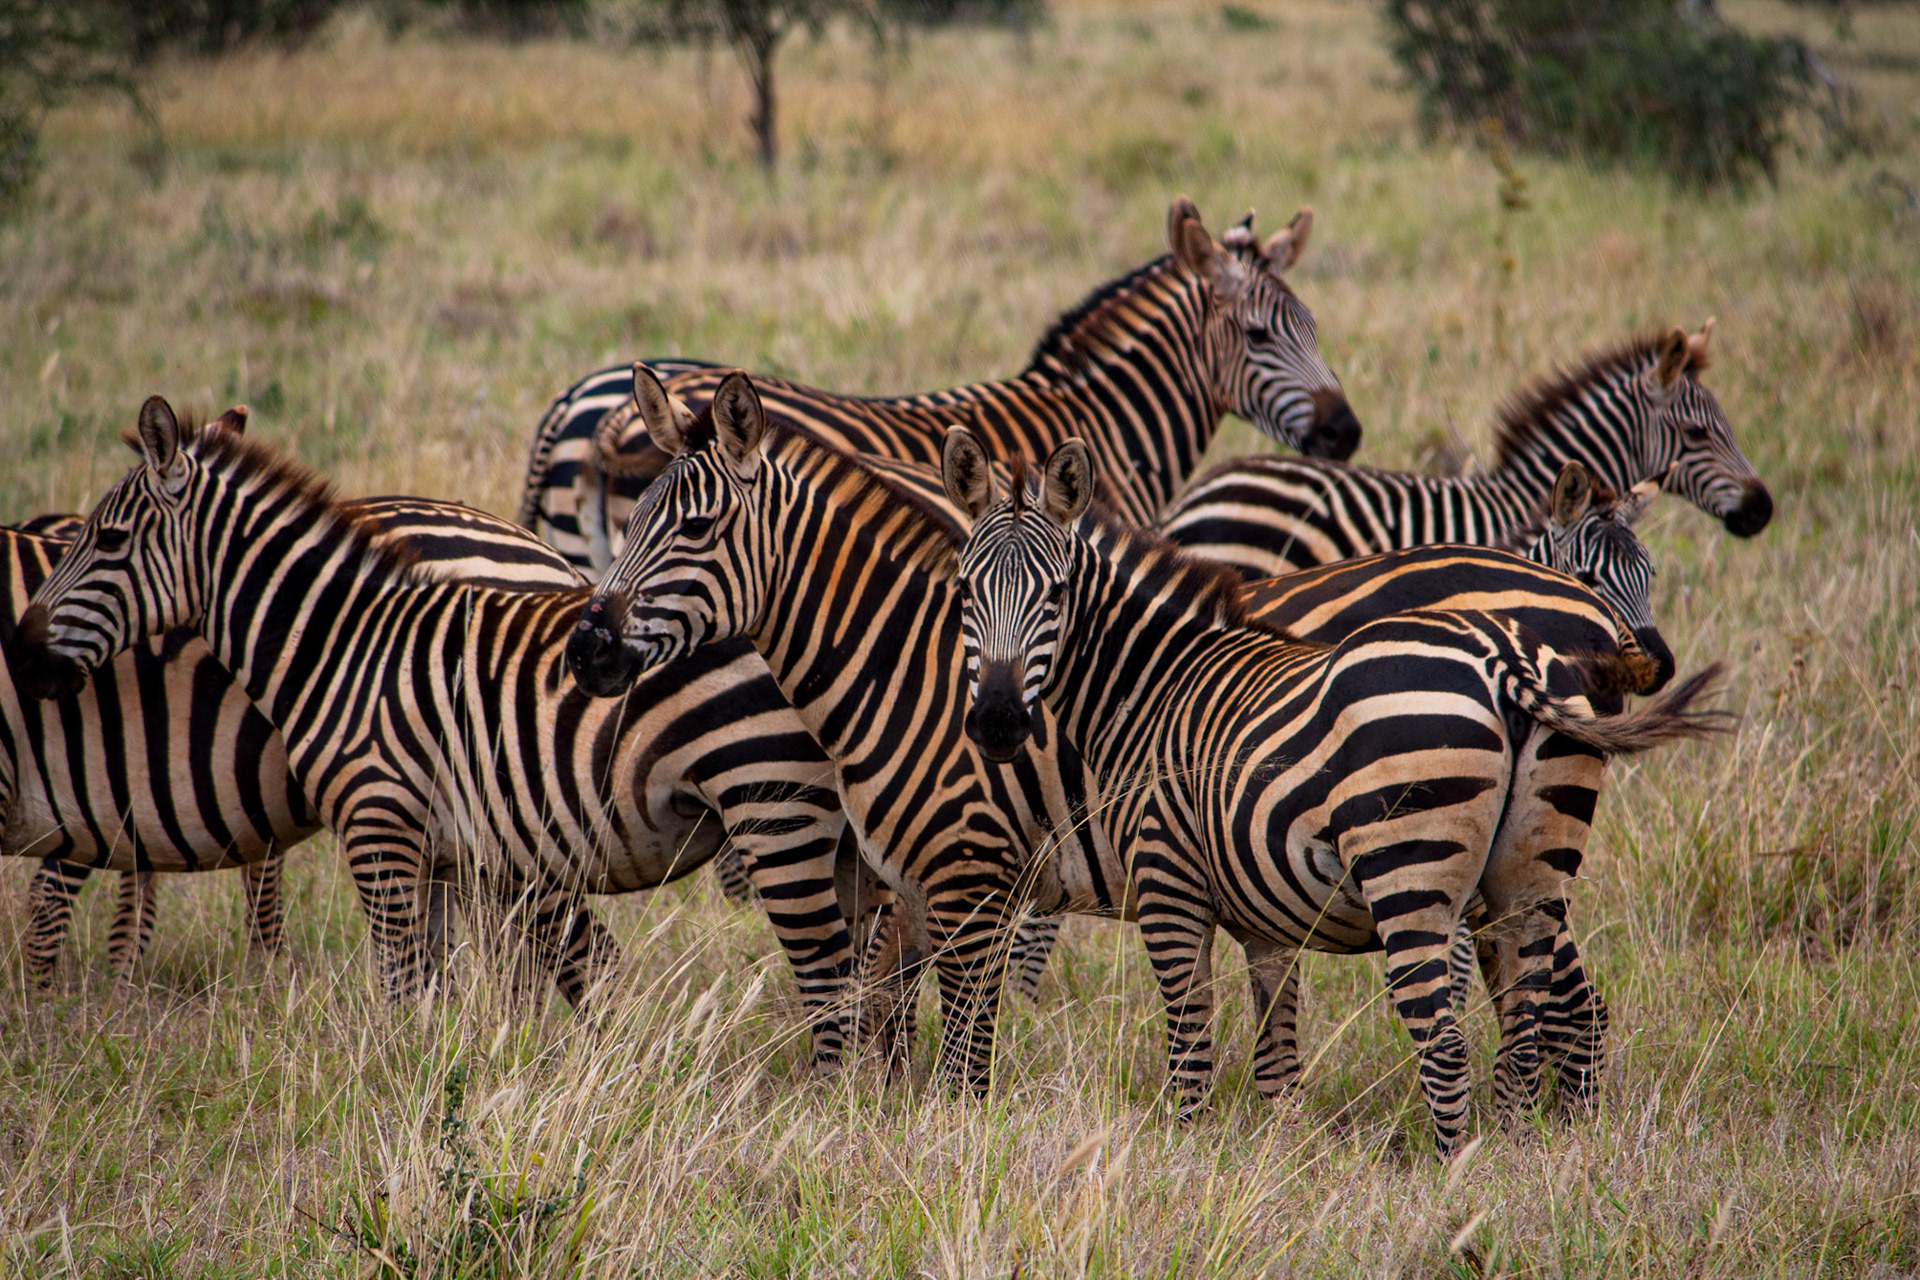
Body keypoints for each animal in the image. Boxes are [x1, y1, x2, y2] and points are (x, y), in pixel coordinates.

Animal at [560, 371, 1683, 1115]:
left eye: (693, 530)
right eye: (634, 515)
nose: (588, 646)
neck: (901, 660)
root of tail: (1568, 603)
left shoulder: (968, 867)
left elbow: (941, 1037)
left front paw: (929, 1135)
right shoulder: (898, 871)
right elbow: (884, 1012)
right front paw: (875, 1119)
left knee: (1565, 1008)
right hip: (1512, 863)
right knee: (1546, 1003)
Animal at [939, 431, 1729, 1155]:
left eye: (1055, 594)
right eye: (964, 590)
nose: (998, 721)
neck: (1157, 683)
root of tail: (1504, 660)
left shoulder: (1170, 882)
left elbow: (1190, 1044)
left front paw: (1181, 1153)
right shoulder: (1263, 912)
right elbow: (1276, 1054)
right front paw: (1278, 1155)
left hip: (1410, 871)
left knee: (1448, 1043)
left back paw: (1452, 1183)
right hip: (1530, 874)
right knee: (1530, 1025)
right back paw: (1512, 1161)